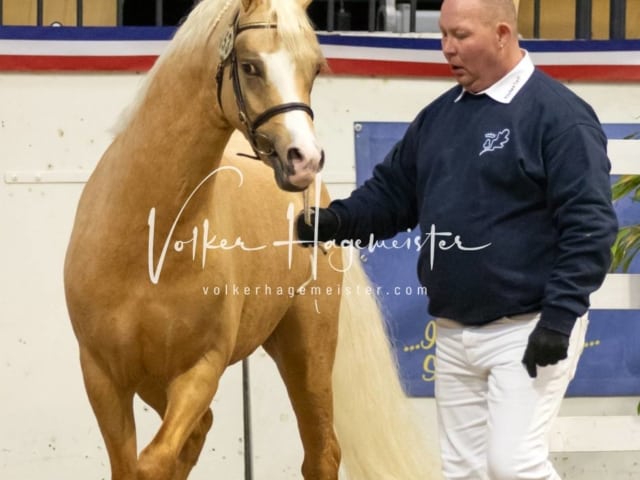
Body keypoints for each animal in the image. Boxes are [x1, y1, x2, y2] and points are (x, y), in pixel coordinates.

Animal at [63, 0, 440, 476]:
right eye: (249, 66)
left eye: (314, 68)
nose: (305, 159)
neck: (149, 242)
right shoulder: (103, 376)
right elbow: (135, 463)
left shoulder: (200, 369)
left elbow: (151, 462)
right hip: (154, 379)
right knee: (200, 433)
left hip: (307, 349)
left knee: (321, 452)